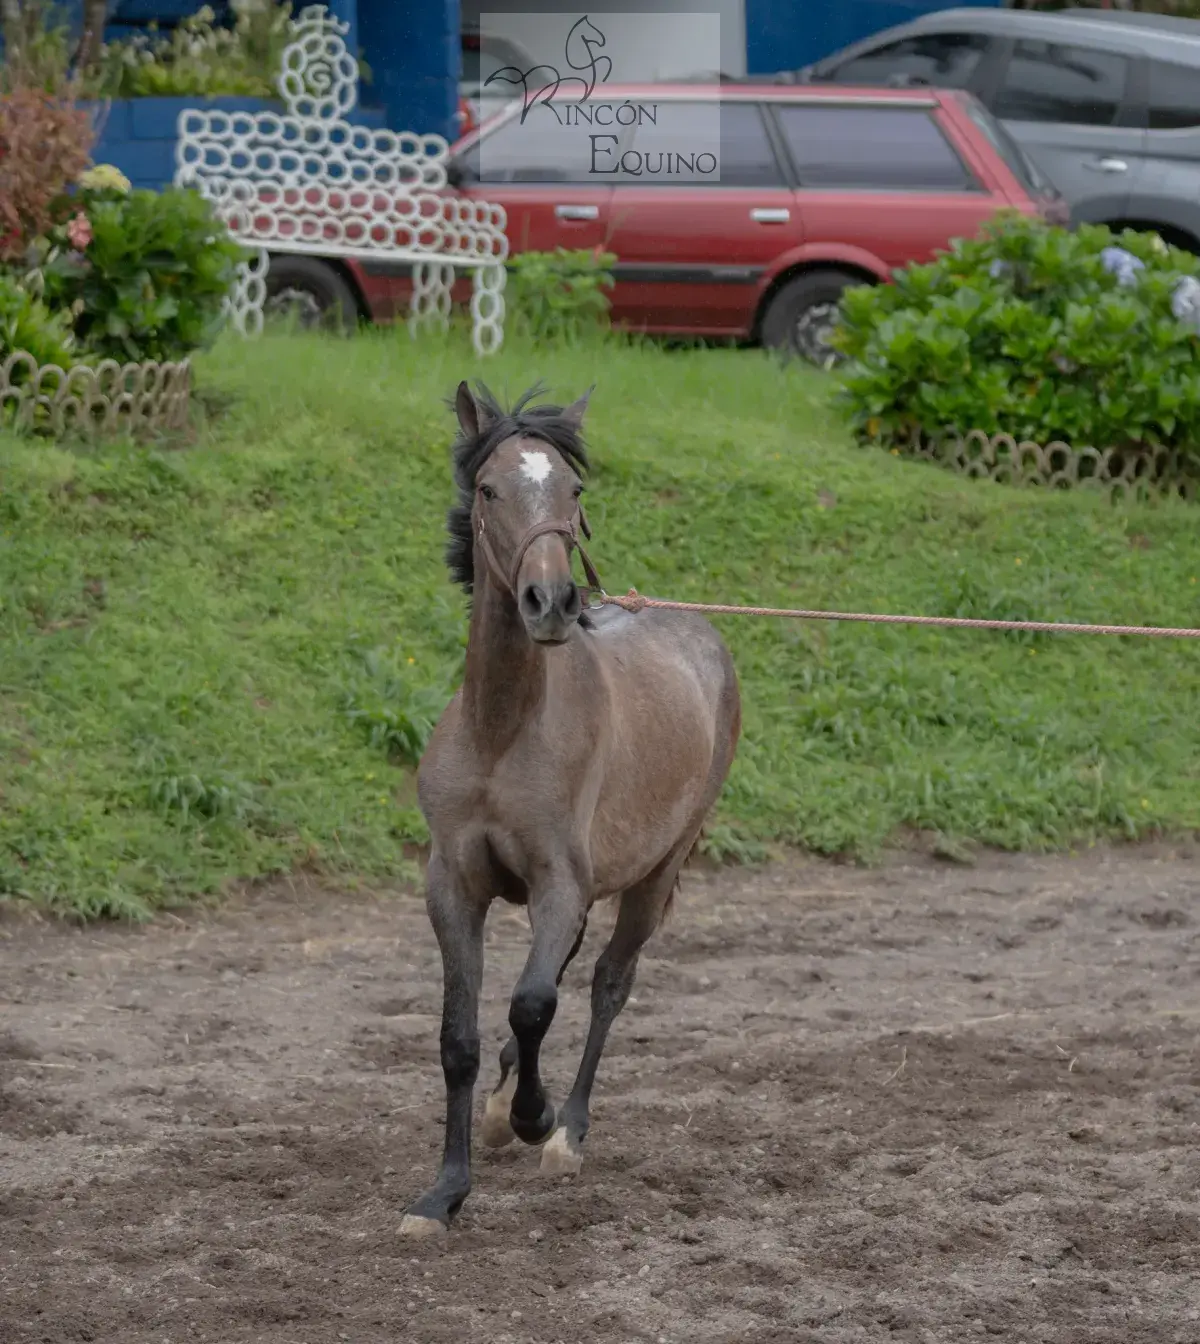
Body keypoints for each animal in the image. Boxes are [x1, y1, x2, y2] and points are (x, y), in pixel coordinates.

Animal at [399, 381, 741, 1238]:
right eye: (490, 489)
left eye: (574, 491)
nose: (550, 601)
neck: (503, 731)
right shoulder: (454, 885)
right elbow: (459, 1037)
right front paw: (444, 1193)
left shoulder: (559, 884)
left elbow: (532, 1003)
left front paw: (534, 1116)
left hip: (659, 870)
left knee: (606, 985)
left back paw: (568, 1131)